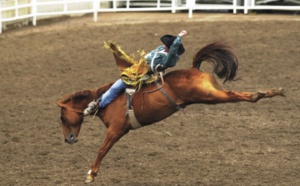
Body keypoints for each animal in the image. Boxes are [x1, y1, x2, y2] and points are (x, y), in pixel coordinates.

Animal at [55, 41, 284, 182]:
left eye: (62, 117)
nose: (68, 139)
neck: (105, 100)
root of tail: (195, 69)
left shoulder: (115, 130)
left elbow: (102, 150)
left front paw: (90, 174)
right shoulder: (120, 131)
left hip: (211, 96)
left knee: (238, 95)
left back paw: (265, 93)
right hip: (210, 95)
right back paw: (272, 92)